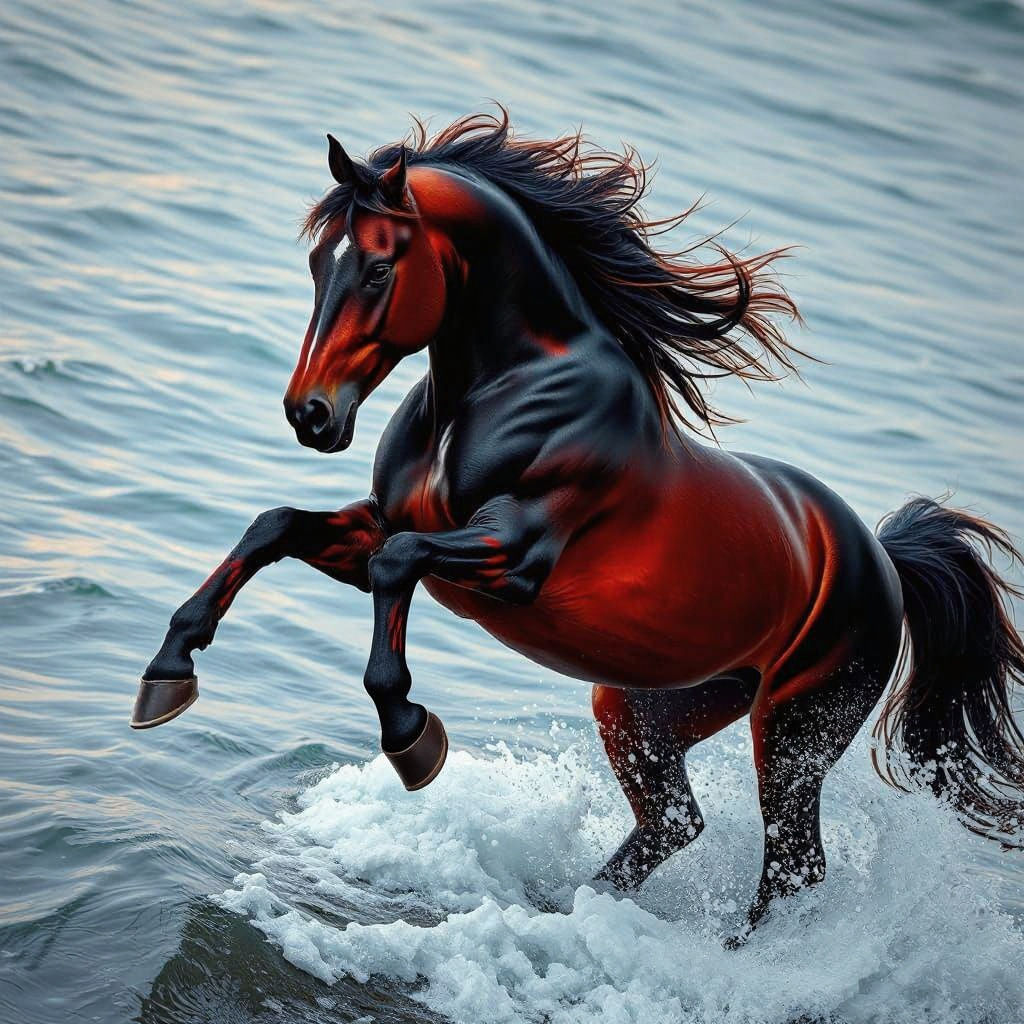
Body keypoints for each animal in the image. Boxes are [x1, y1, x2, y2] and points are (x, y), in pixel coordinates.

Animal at [134, 110, 1024, 940]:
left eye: (380, 266)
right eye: (321, 262)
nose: (310, 415)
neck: (506, 389)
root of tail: (882, 556)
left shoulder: (516, 556)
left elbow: (398, 563)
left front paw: (413, 737)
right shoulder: (374, 527)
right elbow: (275, 527)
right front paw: (167, 674)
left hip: (795, 728)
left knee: (793, 867)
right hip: (644, 704)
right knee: (676, 821)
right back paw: (583, 908)